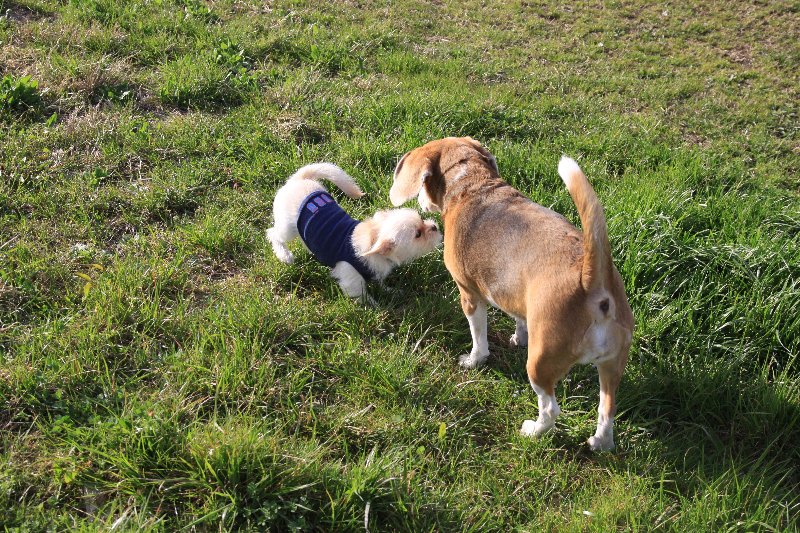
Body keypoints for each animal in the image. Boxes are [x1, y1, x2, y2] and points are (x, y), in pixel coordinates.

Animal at [268, 163, 442, 302]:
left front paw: (391, 291)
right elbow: (363, 296)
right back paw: (285, 255)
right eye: (418, 234)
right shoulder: (351, 279)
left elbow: (380, 282)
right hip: (288, 228)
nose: (435, 226)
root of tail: (299, 179)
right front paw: (374, 307)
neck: (373, 239)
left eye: (422, 220)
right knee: (273, 234)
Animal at [388, 137, 633, 451]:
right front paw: (519, 337)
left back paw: (533, 431)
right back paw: (601, 442)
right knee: (607, 408)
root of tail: (592, 282)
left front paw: (474, 360)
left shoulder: (469, 294)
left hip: (540, 365)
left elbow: (478, 337)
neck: (472, 183)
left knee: (551, 408)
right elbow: (520, 318)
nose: (420, 202)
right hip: (612, 368)